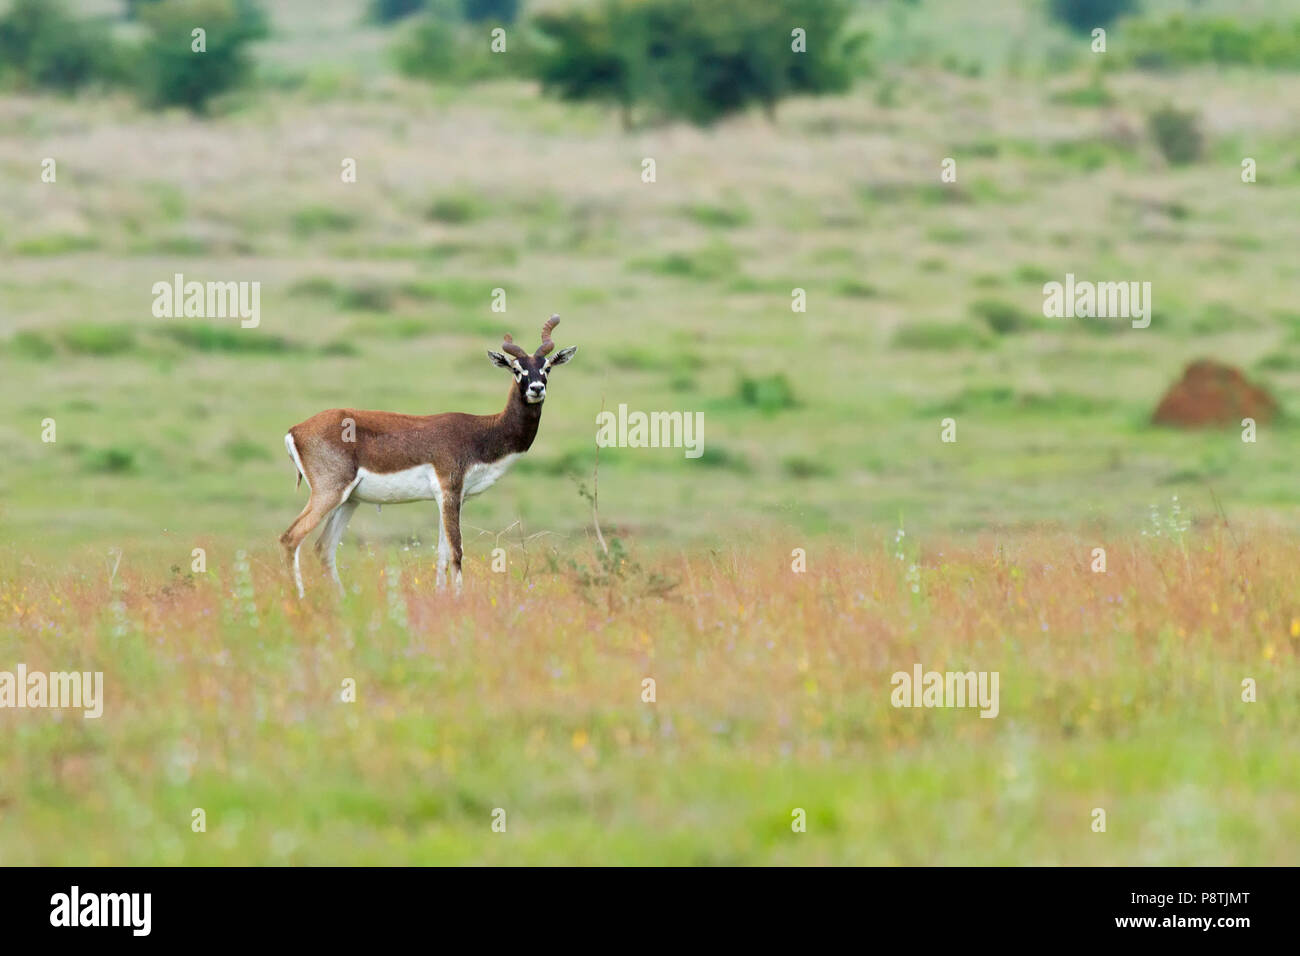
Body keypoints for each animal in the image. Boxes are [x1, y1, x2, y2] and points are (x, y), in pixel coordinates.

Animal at [282, 317, 577, 595]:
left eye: (547, 367)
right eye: (517, 369)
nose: (536, 388)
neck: (482, 432)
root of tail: (295, 430)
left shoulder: (452, 498)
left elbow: (442, 553)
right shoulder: (449, 491)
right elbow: (457, 551)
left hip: (349, 500)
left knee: (323, 548)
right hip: (329, 493)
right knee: (290, 538)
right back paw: (299, 599)